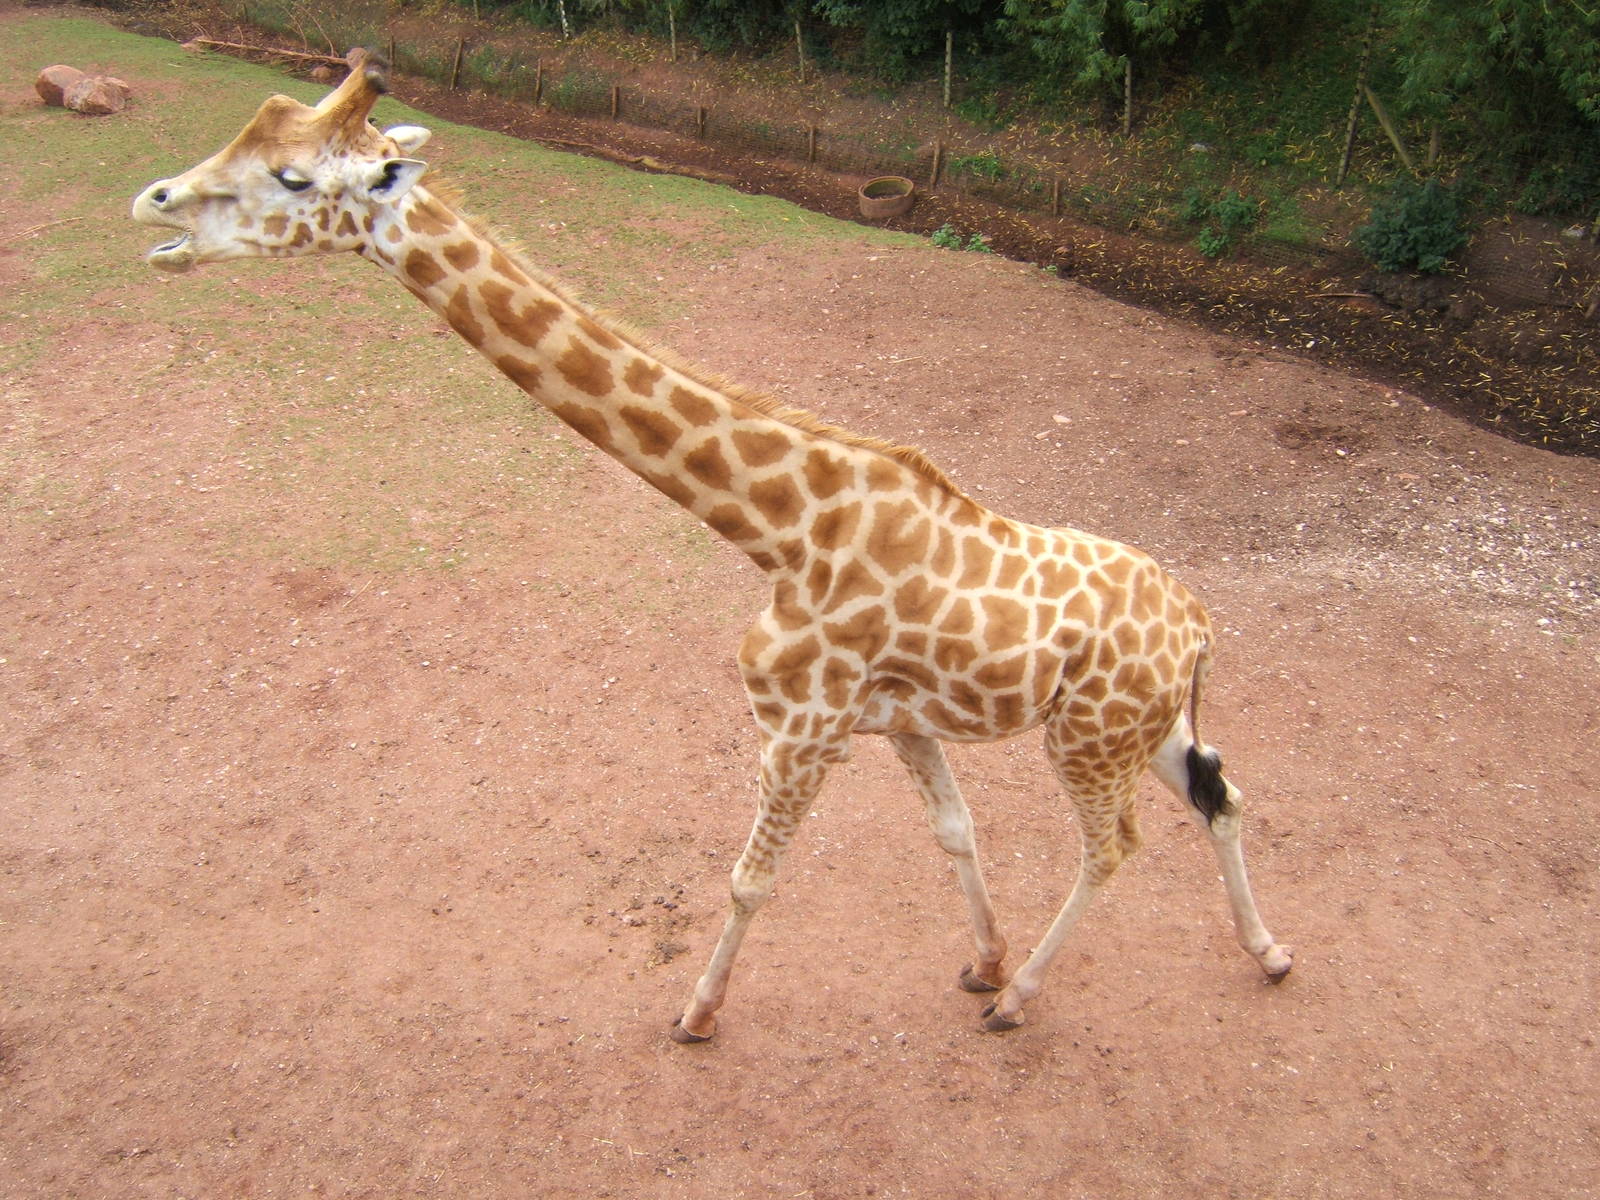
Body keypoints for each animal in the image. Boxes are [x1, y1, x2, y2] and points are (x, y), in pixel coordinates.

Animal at [132, 52, 1291, 1041]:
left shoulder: (803, 728)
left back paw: (1025, 1006)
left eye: (289, 174)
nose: (153, 208)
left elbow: (748, 877)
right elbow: (955, 833)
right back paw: (1267, 952)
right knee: (1221, 796)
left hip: (1087, 739)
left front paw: (698, 1014)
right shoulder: (894, 721)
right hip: (1148, 726)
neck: (780, 532)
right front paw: (981, 961)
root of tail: (1200, 627)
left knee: (1114, 846)